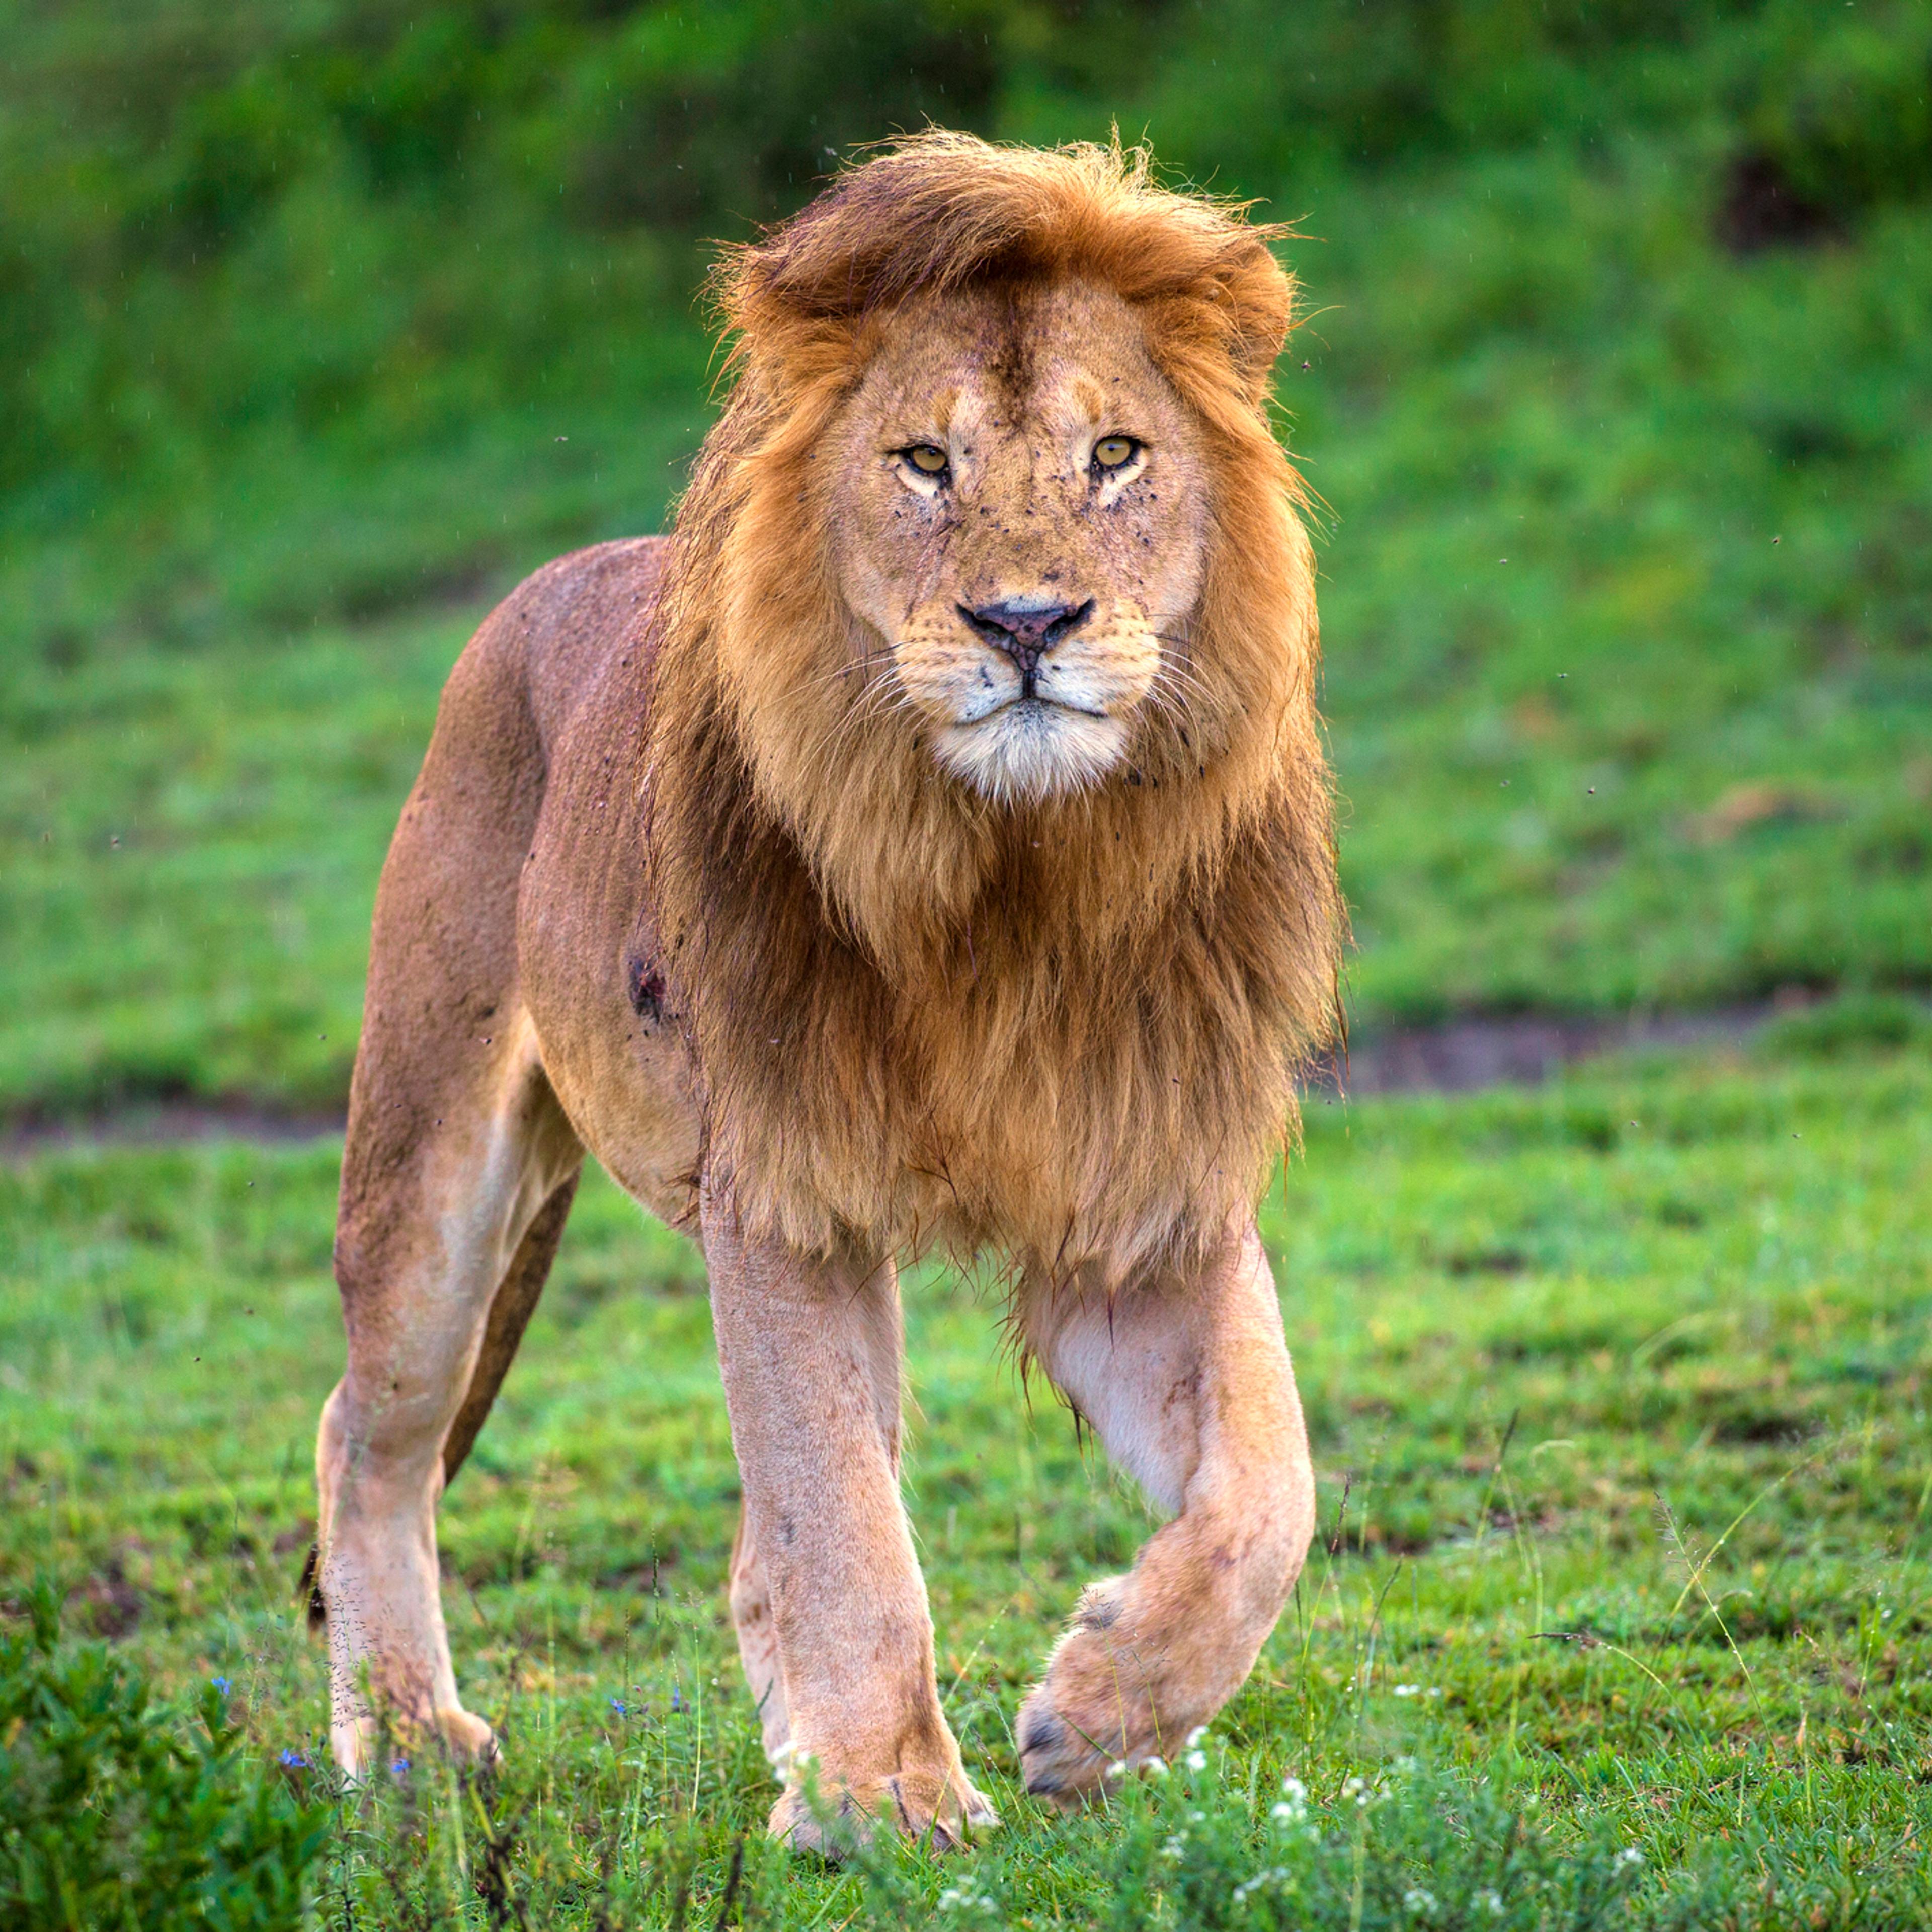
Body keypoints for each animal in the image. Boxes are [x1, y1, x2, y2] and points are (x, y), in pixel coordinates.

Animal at [311, 131, 1343, 1851]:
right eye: (922, 463)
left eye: (1116, 455)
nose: (1024, 624)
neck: (1011, 877)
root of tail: (552, 579)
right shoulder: (785, 1195)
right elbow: (844, 1521)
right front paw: (887, 1801)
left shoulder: (1139, 1193)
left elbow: (1270, 1489)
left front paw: (1100, 1713)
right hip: (431, 1152)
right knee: (371, 1432)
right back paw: (404, 1739)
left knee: (746, 1550)